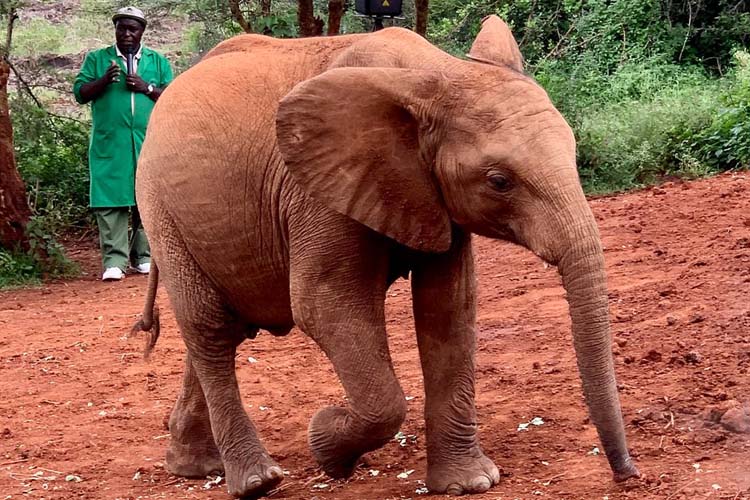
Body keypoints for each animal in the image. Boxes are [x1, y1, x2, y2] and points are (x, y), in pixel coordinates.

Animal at [134, 15, 640, 500]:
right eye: (499, 181)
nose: (627, 475)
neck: (435, 73)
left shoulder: (431, 195)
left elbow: (448, 309)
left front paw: (469, 485)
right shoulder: (317, 191)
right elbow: (322, 305)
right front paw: (327, 445)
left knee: (222, 331)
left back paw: (196, 468)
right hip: (158, 206)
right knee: (209, 328)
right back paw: (256, 482)